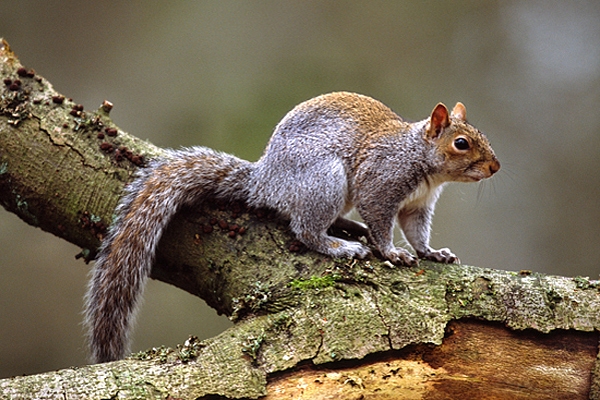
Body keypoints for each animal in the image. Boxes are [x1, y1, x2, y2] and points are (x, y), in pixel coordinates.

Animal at [82, 91, 500, 362]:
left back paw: (349, 229)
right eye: (462, 143)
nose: (496, 167)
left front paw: (433, 253)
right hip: (324, 181)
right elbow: (381, 222)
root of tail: (266, 182)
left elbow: (417, 233)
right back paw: (339, 245)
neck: (420, 160)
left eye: (481, 136)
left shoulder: (418, 206)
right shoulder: (380, 184)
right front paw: (392, 252)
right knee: (305, 229)